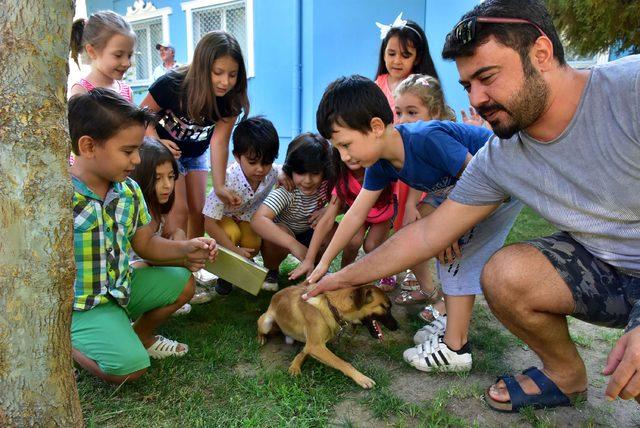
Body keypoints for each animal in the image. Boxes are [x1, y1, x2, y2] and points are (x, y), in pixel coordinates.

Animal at [256, 284, 398, 388]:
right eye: (386, 307)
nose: (397, 327)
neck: (332, 307)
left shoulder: (315, 345)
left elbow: (306, 351)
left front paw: (296, 363)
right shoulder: (315, 346)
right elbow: (344, 363)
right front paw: (362, 378)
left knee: (303, 350)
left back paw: (295, 365)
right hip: (266, 321)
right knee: (262, 329)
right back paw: (261, 338)